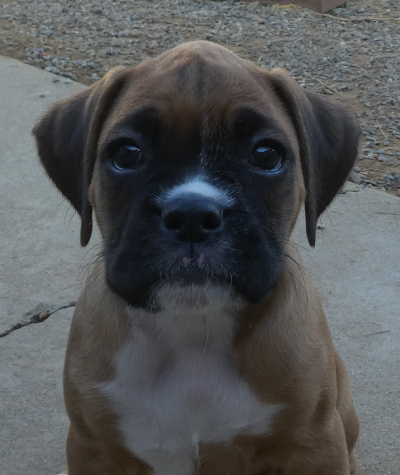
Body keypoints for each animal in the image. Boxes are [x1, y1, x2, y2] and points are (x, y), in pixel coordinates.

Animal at [34, 41, 360, 475]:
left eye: (266, 154)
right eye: (126, 153)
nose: (191, 214)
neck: (193, 330)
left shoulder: (314, 446)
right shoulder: (94, 448)